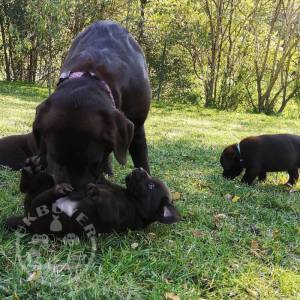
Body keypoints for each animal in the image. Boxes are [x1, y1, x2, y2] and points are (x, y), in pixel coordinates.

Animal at [5, 157, 180, 237]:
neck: (130, 198)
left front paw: (94, 191)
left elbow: (107, 202)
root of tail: (24, 218)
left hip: (42, 218)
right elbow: (102, 181)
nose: (140, 168)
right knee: (29, 188)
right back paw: (30, 170)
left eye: (151, 186)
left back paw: (59, 190)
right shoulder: (108, 184)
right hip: (41, 188)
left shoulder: (116, 215)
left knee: (38, 201)